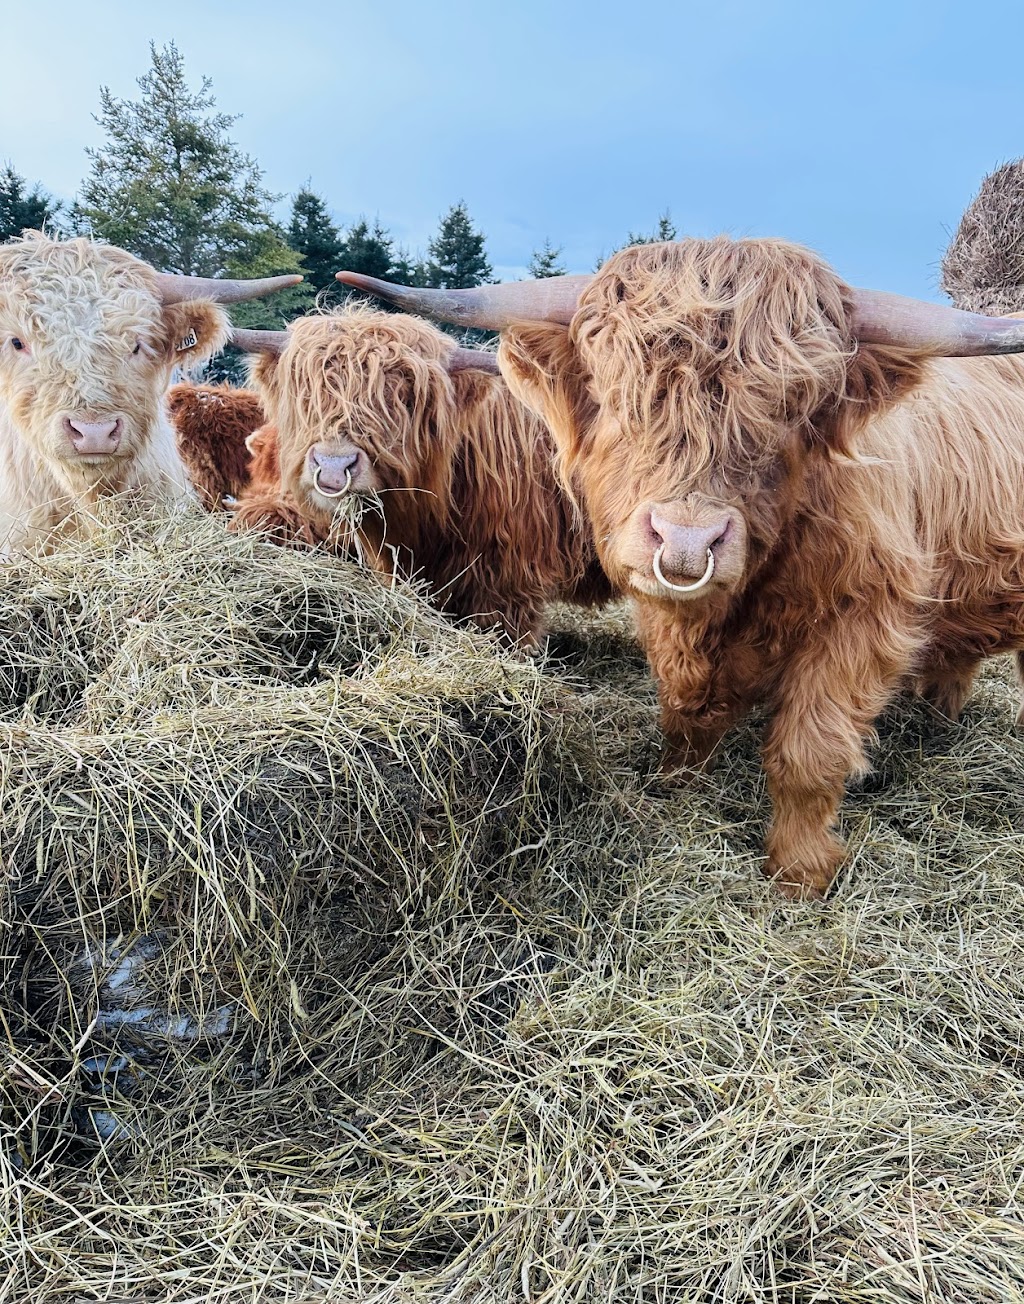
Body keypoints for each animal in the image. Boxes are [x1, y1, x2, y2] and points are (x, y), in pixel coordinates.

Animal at [339, 239, 1022, 897]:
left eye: (793, 410)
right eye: (618, 399)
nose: (688, 539)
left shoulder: (864, 617)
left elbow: (809, 753)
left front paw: (800, 872)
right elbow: (683, 711)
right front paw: (675, 784)